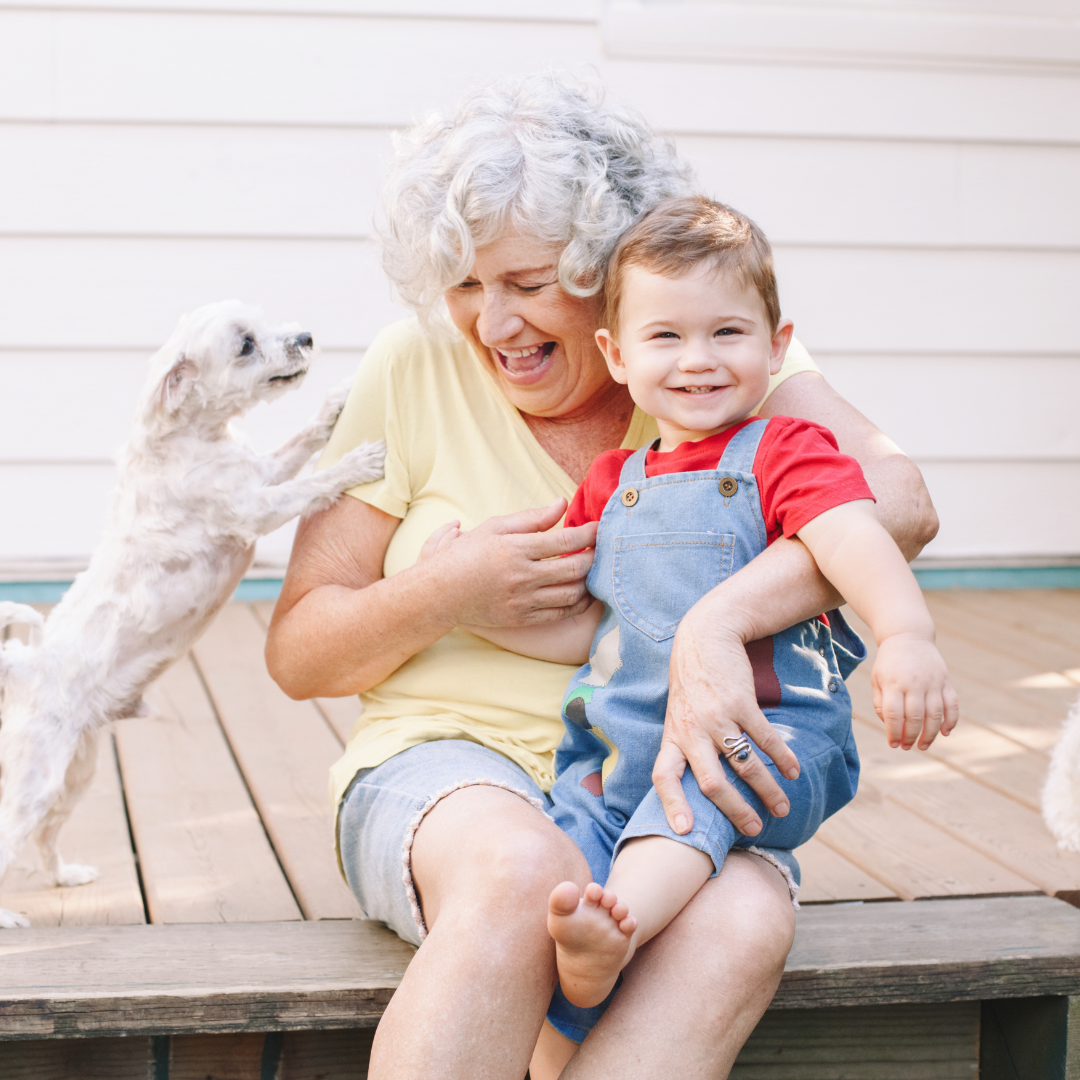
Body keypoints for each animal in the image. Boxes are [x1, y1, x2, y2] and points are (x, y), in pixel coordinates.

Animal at [0, 300, 384, 924]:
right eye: (245, 345)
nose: (305, 336)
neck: (195, 440)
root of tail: (26, 666)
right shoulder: (255, 507)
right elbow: (310, 483)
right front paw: (356, 461)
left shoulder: (261, 473)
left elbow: (297, 444)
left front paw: (334, 404)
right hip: (36, 781)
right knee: (9, 841)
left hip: (75, 775)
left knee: (43, 839)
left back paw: (66, 876)